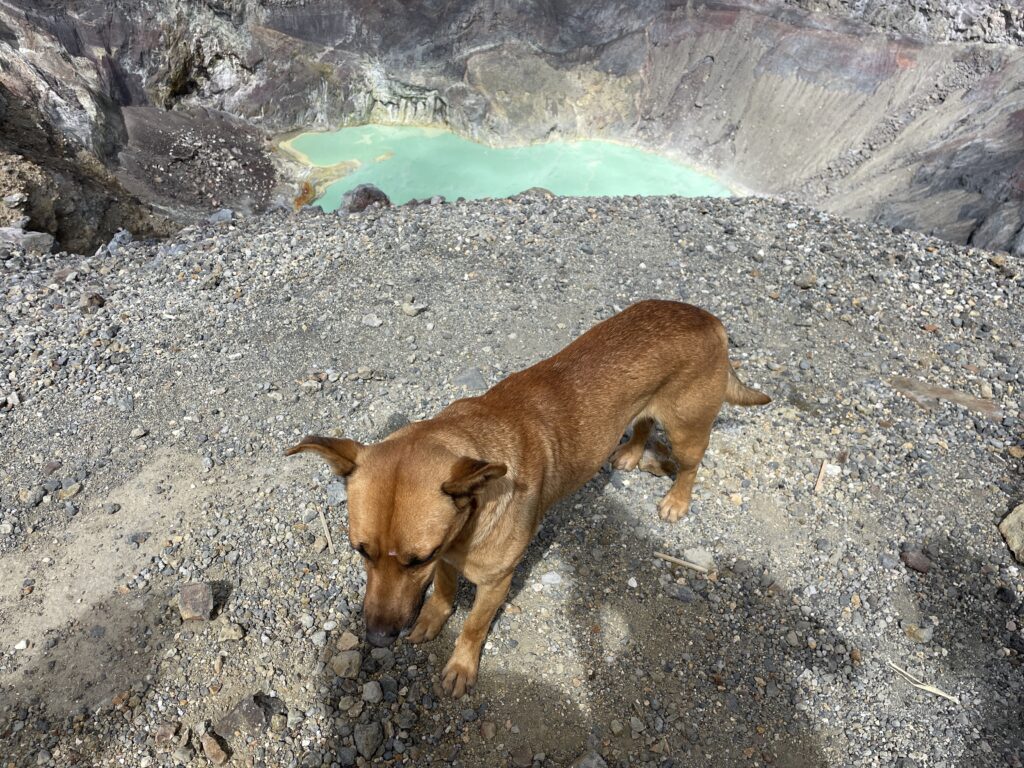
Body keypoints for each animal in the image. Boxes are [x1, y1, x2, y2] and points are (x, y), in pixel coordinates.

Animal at [286, 299, 770, 696]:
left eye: (416, 559)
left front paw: (461, 666)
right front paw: (430, 621)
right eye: (359, 551)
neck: (474, 515)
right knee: (644, 423)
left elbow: (473, 626)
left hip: (688, 429)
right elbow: (442, 594)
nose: (377, 638)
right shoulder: (448, 560)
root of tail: (707, 318)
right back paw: (632, 453)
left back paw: (677, 501)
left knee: (690, 464)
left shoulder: (493, 581)